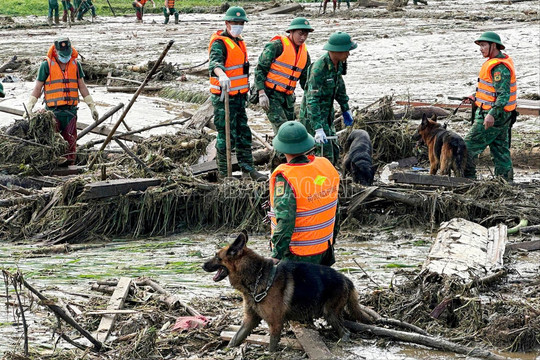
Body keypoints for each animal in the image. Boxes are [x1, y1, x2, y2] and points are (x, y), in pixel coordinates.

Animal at [202, 231, 368, 352]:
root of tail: (346, 279)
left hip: (330, 313)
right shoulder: (250, 320)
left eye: (216, 256)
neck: (256, 276)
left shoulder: (275, 323)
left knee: (346, 332)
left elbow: (272, 346)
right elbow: (235, 338)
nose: (202, 265)